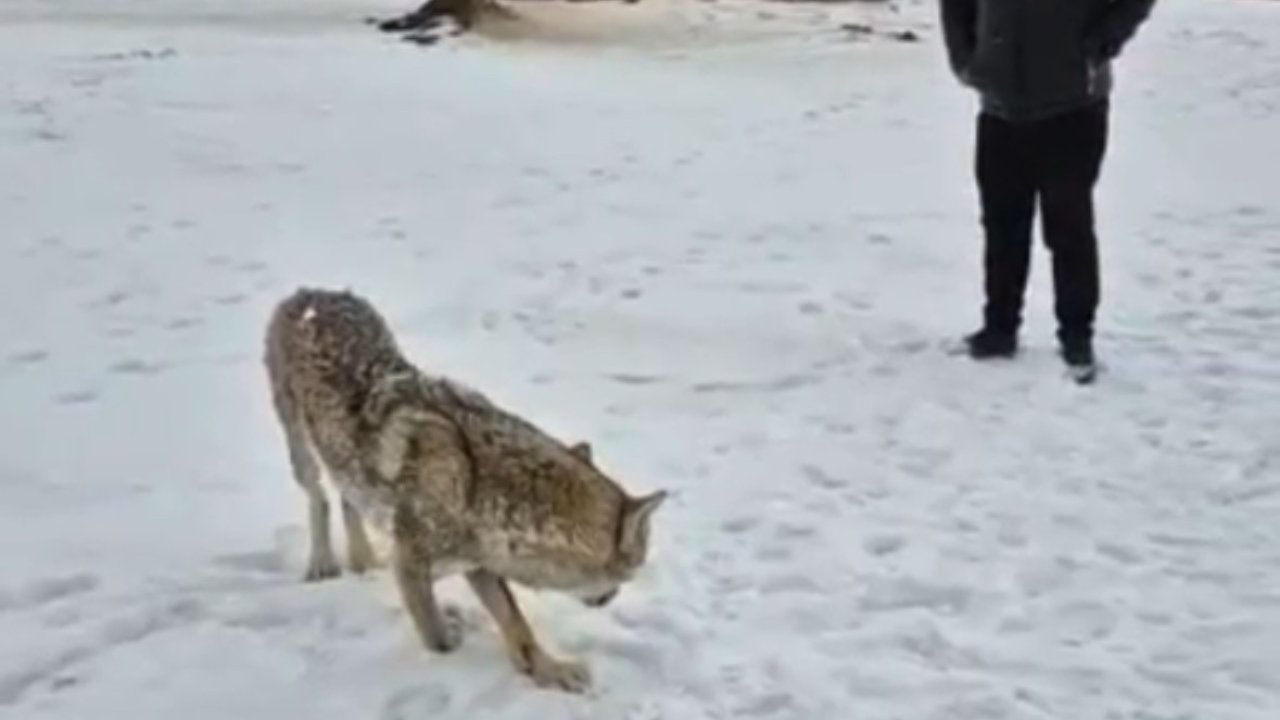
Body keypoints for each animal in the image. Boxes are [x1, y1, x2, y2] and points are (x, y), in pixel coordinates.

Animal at [256, 285, 665, 691]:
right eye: (631, 572)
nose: (611, 598)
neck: (478, 486)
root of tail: (312, 292)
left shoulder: (478, 563)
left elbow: (517, 625)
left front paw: (549, 671)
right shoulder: (411, 565)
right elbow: (437, 639)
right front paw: (451, 653)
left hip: (343, 459)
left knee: (347, 500)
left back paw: (363, 562)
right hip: (301, 449)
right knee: (318, 497)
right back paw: (322, 563)